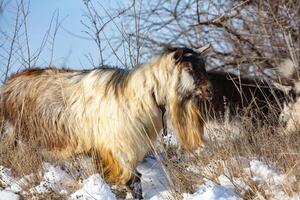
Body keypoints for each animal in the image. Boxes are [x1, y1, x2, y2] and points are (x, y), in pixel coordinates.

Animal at [0, 45, 211, 197]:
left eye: (203, 66)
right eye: (188, 67)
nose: (208, 90)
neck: (141, 95)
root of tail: (7, 85)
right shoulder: (118, 148)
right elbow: (134, 181)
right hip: (16, 140)